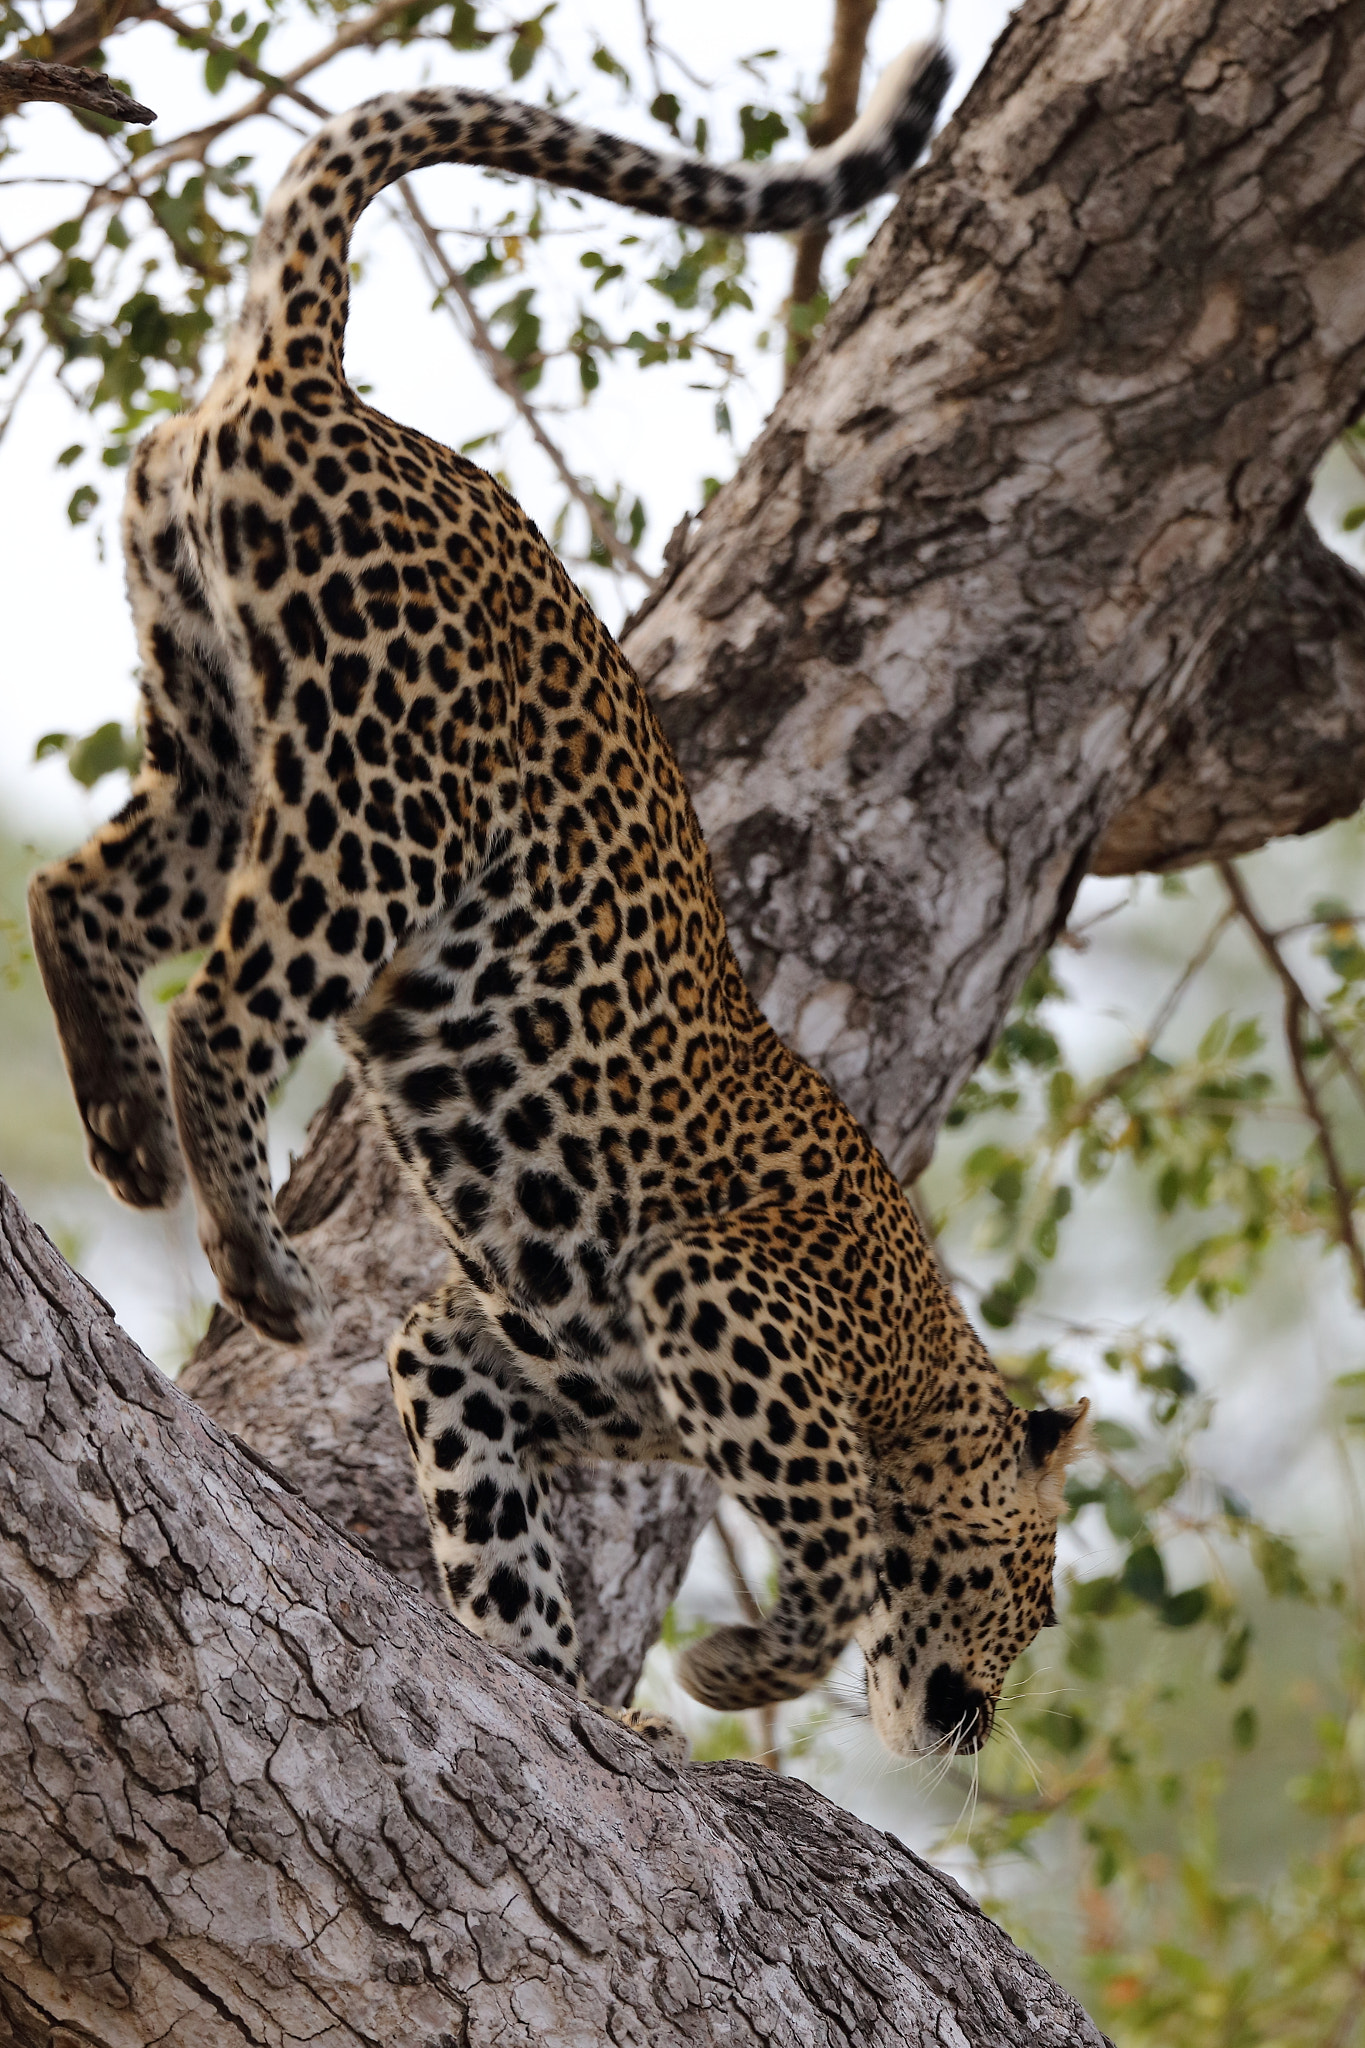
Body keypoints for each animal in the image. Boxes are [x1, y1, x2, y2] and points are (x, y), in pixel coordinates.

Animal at [28, 31, 1091, 1763]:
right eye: (1040, 1594)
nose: (979, 1729)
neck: (928, 1366)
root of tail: (315, 385)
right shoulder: (729, 1297)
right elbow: (841, 1543)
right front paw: (737, 1669)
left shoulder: (501, 1350)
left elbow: (493, 1520)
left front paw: (557, 1685)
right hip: (384, 801)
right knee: (230, 1002)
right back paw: (257, 1261)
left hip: (210, 730)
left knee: (79, 898)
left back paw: (124, 1139)